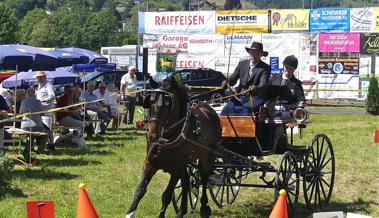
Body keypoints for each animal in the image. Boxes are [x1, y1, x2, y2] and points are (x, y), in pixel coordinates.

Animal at [126, 75, 221, 218]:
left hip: (207, 157)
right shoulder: (150, 164)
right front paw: (130, 213)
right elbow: (140, 190)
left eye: (167, 104)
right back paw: (182, 211)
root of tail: (208, 108)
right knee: (187, 181)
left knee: (204, 177)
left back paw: (204, 207)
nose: (152, 135)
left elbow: (166, 196)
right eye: (151, 101)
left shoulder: (176, 170)